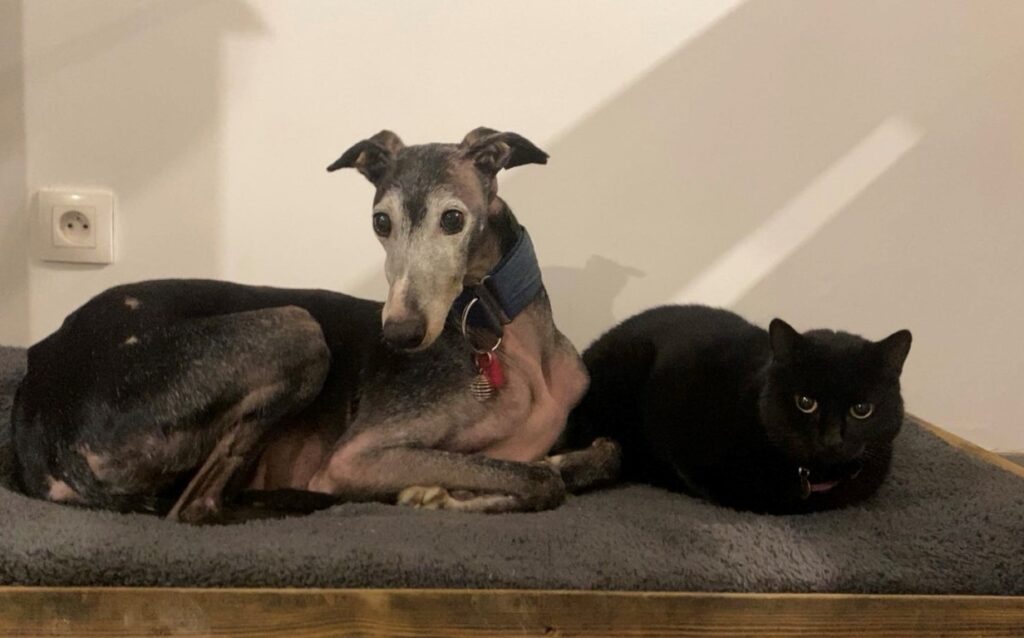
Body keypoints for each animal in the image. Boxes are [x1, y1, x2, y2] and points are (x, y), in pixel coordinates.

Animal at [11, 127, 620, 523]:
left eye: (453, 219)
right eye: (380, 221)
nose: (398, 334)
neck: (502, 334)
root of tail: (34, 425)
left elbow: (598, 453)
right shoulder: (358, 456)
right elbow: (537, 479)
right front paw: (440, 495)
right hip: (296, 327)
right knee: (194, 508)